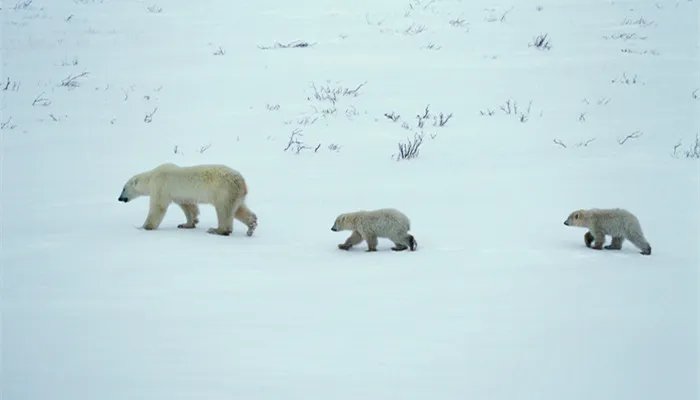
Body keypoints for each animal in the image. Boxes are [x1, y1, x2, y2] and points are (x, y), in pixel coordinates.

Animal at [118, 163, 257, 236]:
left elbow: (158, 206)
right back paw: (251, 225)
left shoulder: (160, 186)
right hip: (234, 194)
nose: (119, 198)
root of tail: (241, 181)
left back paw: (217, 230)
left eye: (123, 188)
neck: (151, 177)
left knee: (224, 210)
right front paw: (187, 224)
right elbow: (189, 207)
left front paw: (144, 227)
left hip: (223, 190)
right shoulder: (180, 195)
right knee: (238, 209)